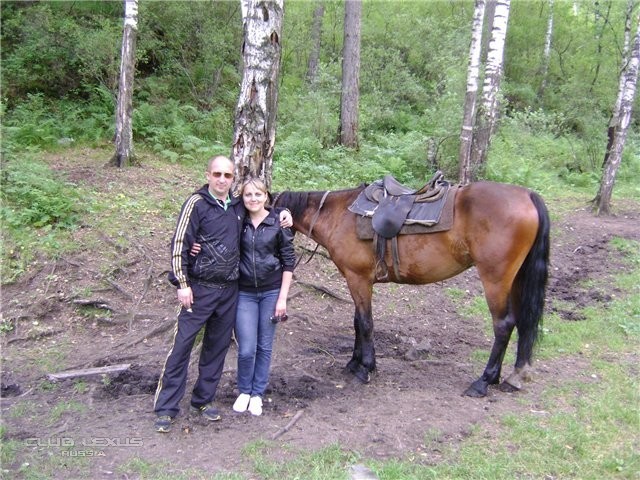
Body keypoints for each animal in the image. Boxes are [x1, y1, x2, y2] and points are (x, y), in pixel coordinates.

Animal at [274, 180, 550, 397]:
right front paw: (353, 362)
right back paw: (513, 376)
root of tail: (527, 195)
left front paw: (365, 368)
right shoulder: (357, 280)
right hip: (516, 280)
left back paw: (484, 381)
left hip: (495, 280)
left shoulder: (358, 279)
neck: (338, 214)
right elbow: (357, 321)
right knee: (522, 321)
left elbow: (365, 323)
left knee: (503, 325)